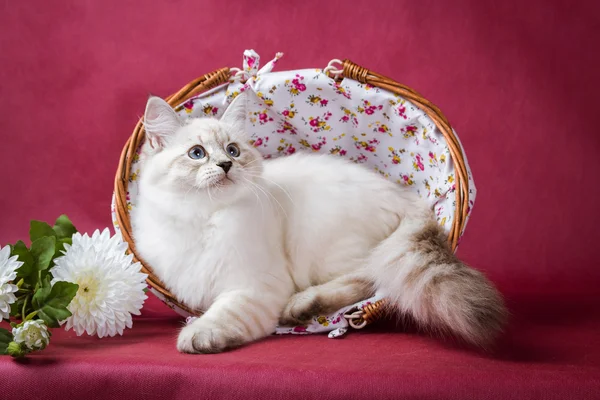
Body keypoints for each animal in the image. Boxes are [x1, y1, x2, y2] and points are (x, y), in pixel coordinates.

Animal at [132, 93, 506, 354]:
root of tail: (406, 198)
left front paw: (197, 336)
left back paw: (301, 306)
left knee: (369, 278)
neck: (203, 217)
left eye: (233, 151)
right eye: (197, 154)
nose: (226, 165)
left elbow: (223, 314)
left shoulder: (254, 286)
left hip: (325, 250)